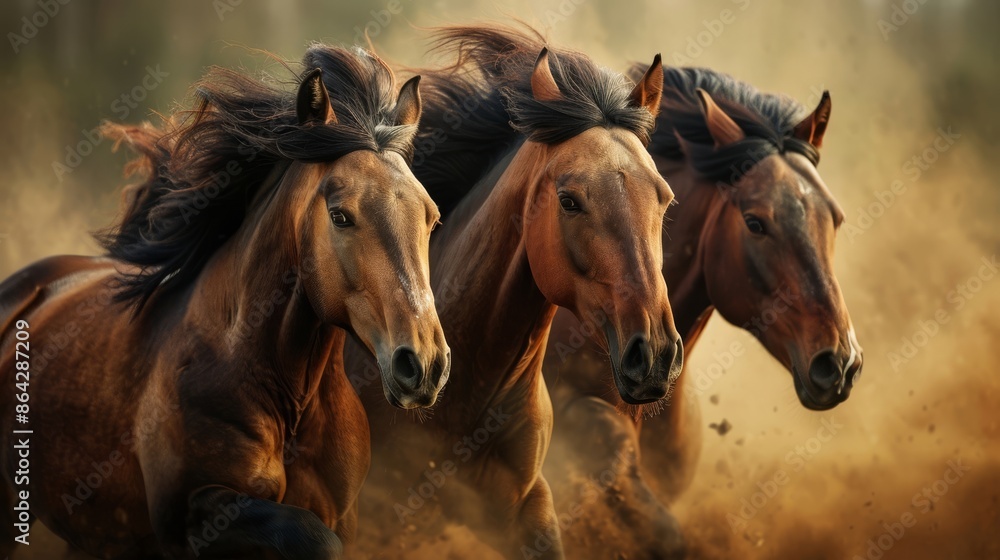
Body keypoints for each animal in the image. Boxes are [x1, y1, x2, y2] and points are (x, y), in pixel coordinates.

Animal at [0, 45, 450, 559]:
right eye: (340, 216)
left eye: (431, 217)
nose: (425, 365)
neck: (286, 401)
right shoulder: (190, 515)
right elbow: (315, 540)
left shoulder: (342, 515)